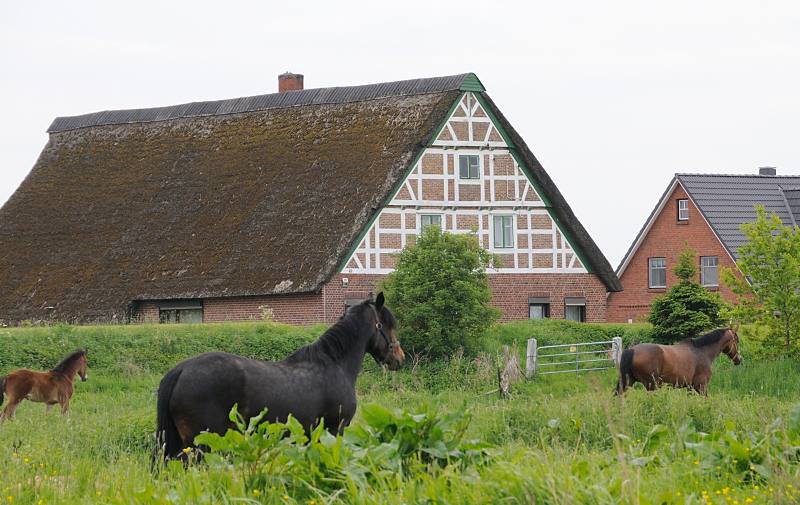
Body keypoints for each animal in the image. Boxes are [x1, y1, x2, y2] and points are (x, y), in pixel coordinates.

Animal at [155, 292, 406, 460]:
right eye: (386, 325)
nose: (399, 358)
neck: (335, 364)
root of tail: (181, 370)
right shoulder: (335, 430)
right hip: (202, 445)